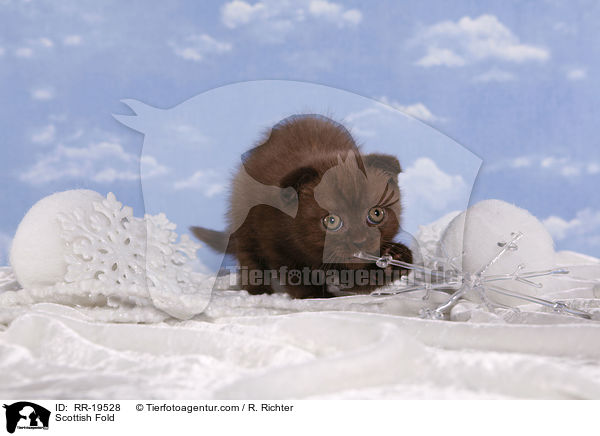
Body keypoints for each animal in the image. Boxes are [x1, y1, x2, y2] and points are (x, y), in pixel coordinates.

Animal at [192, 115, 412, 300]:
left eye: (376, 213)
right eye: (332, 221)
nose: (360, 241)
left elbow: (357, 282)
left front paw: (397, 256)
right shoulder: (273, 237)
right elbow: (293, 272)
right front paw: (314, 295)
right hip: (244, 219)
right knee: (249, 256)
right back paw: (258, 291)